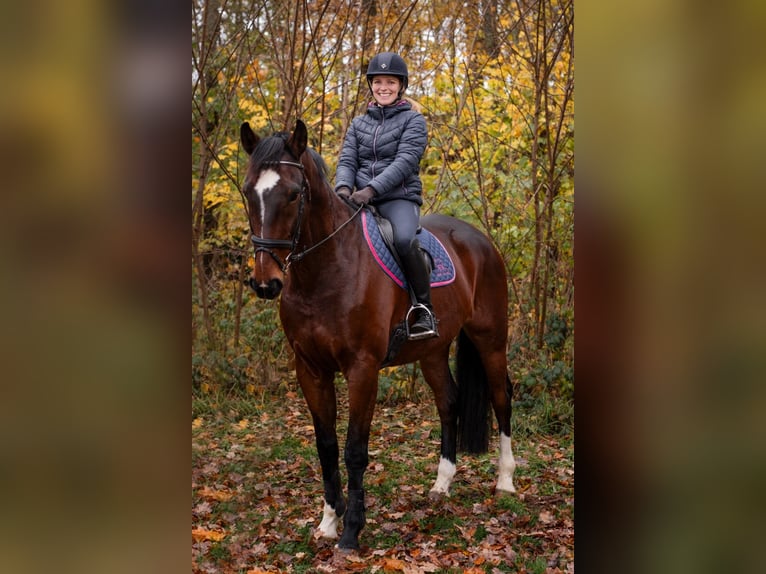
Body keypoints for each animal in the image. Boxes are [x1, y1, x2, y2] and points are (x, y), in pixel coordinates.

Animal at [240, 118, 516, 552]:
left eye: (295, 193)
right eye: (248, 191)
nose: (266, 283)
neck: (326, 270)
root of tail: (478, 238)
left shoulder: (362, 369)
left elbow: (355, 449)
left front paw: (351, 531)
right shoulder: (310, 370)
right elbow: (326, 446)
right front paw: (328, 521)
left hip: (490, 338)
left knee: (502, 397)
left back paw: (505, 480)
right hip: (432, 350)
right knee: (449, 402)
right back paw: (442, 483)